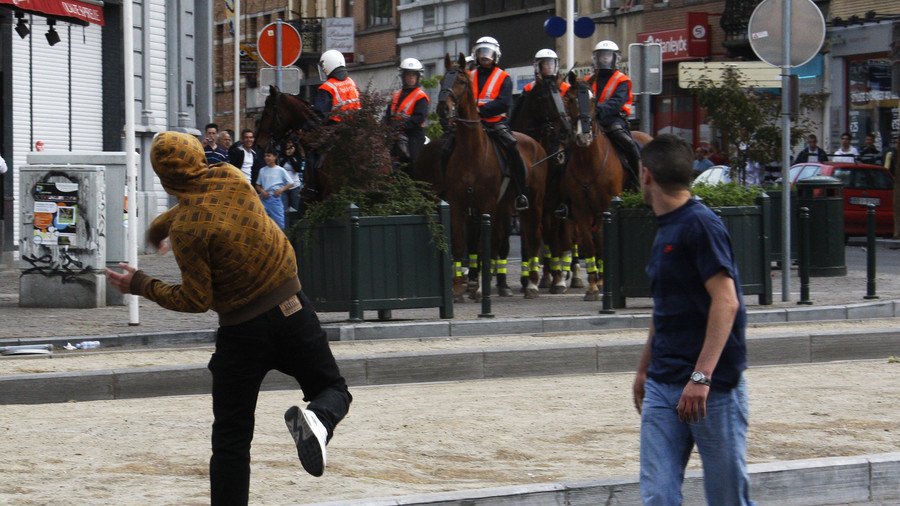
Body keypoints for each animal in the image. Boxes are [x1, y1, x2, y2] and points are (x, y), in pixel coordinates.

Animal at [438, 54, 548, 300]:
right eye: (442, 80)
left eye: (461, 81)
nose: (442, 109)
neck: (471, 152)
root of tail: (536, 144)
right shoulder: (458, 205)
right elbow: (460, 244)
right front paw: (458, 288)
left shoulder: (485, 204)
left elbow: (481, 245)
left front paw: (478, 287)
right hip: (507, 206)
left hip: (534, 203)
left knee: (534, 236)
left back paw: (532, 284)